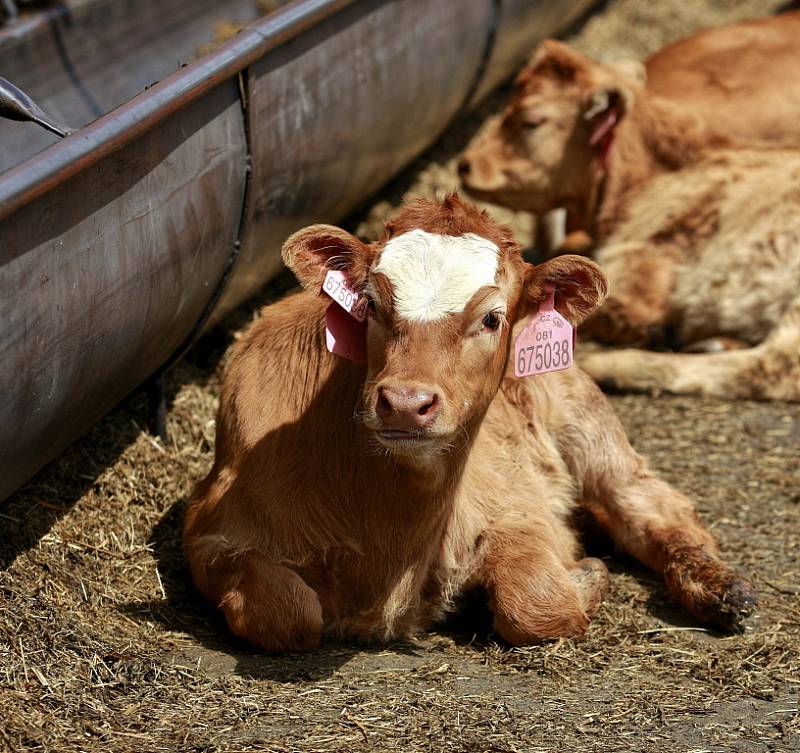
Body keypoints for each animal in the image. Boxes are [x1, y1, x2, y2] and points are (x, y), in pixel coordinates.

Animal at [183, 195, 756, 652]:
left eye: (492, 318)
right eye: (371, 302)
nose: (405, 403)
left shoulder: (518, 511)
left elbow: (537, 604)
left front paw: (587, 575)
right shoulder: (211, 536)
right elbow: (287, 614)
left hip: (589, 426)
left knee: (653, 506)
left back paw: (721, 590)